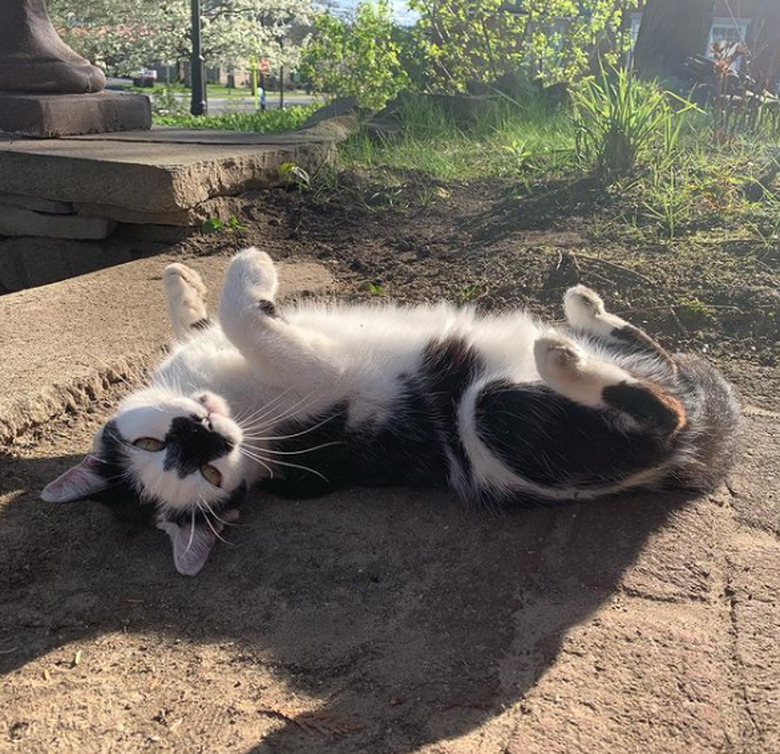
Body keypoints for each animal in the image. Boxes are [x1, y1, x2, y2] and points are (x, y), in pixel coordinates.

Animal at [41, 250, 736, 572]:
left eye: (151, 444)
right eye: (209, 476)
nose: (207, 436)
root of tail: (697, 460)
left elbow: (208, 319)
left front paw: (185, 281)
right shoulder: (319, 378)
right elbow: (244, 315)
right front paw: (250, 266)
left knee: (659, 359)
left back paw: (584, 308)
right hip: (493, 419)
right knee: (662, 411)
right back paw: (562, 356)